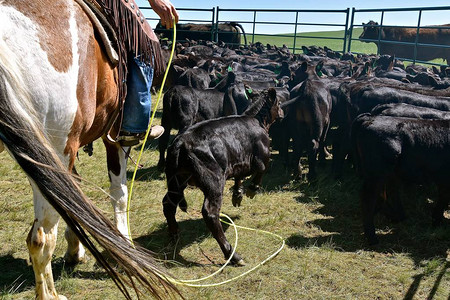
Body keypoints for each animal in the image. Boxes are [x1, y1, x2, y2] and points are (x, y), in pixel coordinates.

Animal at [0, 1, 176, 298]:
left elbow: (75, 198)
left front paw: (75, 248)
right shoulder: (114, 138)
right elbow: (119, 192)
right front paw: (125, 242)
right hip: (58, 150)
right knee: (41, 237)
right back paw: (50, 294)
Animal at [161, 88, 282, 264]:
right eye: (279, 102)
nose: (282, 112)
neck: (256, 119)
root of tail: (180, 142)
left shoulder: (238, 161)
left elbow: (239, 177)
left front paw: (238, 195)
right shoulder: (262, 156)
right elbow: (261, 170)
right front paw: (252, 189)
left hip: (176, 181)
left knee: (169, 203)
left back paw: (174, 233)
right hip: (214, 183)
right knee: (210, 213)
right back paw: (233, 255)